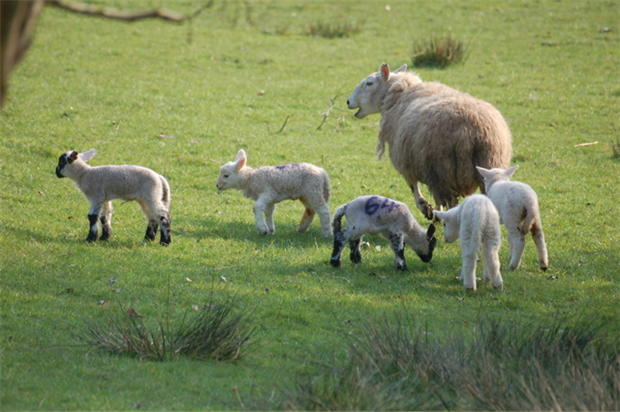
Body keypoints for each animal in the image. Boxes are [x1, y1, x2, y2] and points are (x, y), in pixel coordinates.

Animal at [346, 62, 512, 219]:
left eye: (369, 83)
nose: (348, 101)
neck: (399, 93)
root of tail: (469, 131)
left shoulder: (406, 160)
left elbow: (414, 186)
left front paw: (426, 208)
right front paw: (433, 213)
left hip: (441, 170)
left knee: (450, 202)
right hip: (488, 166)